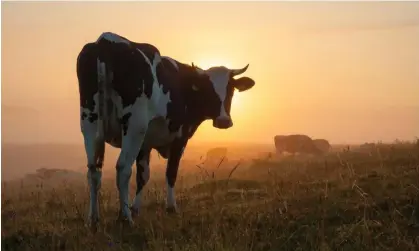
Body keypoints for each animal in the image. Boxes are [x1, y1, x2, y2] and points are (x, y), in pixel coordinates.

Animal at [77, 31, 258, 227]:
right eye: (209, 89)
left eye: (231, 89)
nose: (224, 121)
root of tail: (106, 41)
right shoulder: (180, 137)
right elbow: (171, 172)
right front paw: (170, 207)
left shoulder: (146, 143)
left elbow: (143, 176)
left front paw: (136, 208)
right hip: (134, 125)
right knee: (123, 168)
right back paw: (125, 218)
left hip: (89, 119)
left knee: (93, 170)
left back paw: (93, 218)